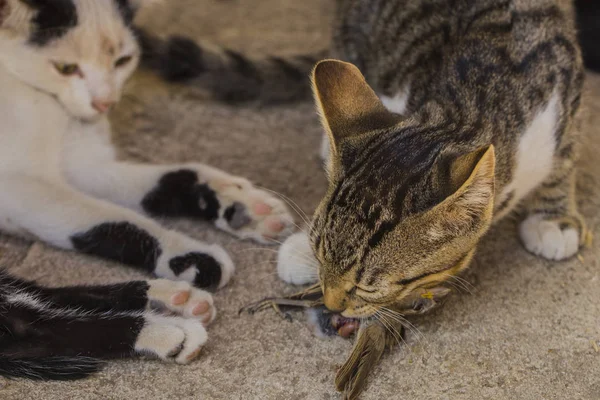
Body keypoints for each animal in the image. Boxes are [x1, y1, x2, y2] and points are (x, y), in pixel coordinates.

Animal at [0, 0, 294, 380]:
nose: (105, 103)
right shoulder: (20, 186)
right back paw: (164, 330)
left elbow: (177, 175)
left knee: (35, 296)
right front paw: (188, 252)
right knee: (30, 329)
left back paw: (167, 297)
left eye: (122, 61)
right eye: (65, 68)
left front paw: (241, 205)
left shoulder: (88, 164)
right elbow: (112, 217)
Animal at [150, 0, 592, 318]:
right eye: (320, 255)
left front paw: (554, 217)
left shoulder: (566, 90)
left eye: (367, 284)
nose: (330, 305)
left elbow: (565, 157)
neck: (477, 96)